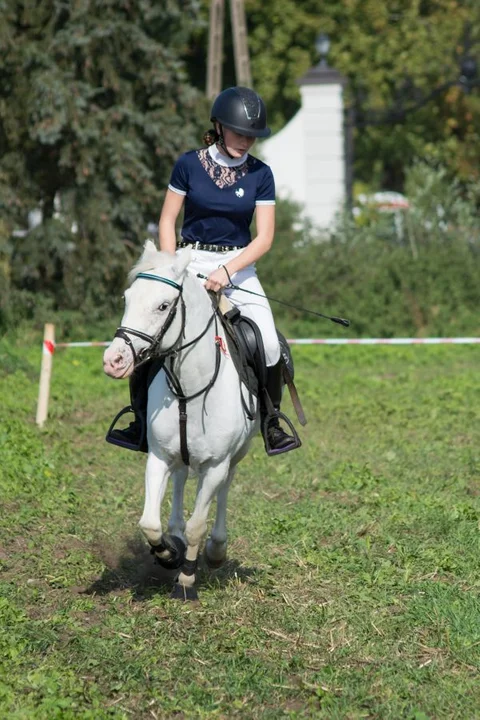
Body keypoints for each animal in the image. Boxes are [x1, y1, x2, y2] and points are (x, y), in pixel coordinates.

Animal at [102, 242, 258, 600]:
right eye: (127, 298)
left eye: (162, 306)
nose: (113, 361)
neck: (191, 390)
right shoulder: (159, 457)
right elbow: (149, 522)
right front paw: (168, 554)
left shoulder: (216, 465)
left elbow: (198, 523)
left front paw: (186, 579)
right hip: (180, 456)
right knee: (180, 480)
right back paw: (176, 538)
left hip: (234, 458)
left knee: (225, 488)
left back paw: (215, 550)